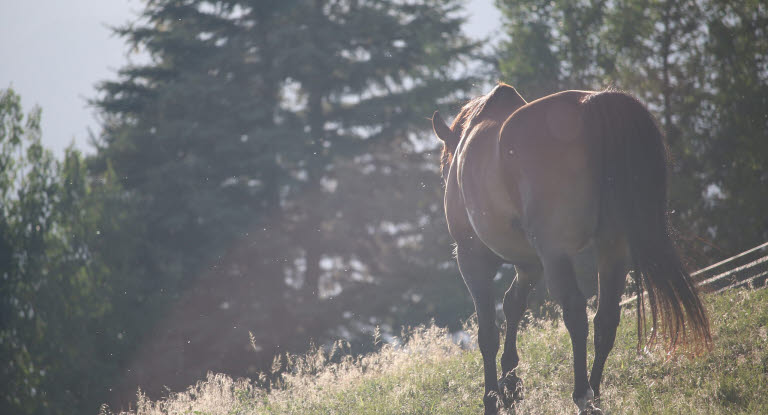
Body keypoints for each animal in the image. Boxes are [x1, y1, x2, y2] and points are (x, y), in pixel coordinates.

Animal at [428, 83, 712, 414]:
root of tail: (592, 104)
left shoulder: (473, 258)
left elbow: (487, 332)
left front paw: (492, 399)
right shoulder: (530, 264)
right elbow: (513, 304)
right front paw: (510, 385)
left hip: (556, 254)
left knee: (576, 313)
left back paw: (582, 395)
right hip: (612, 247)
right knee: (605, 318)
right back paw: (596, 393)